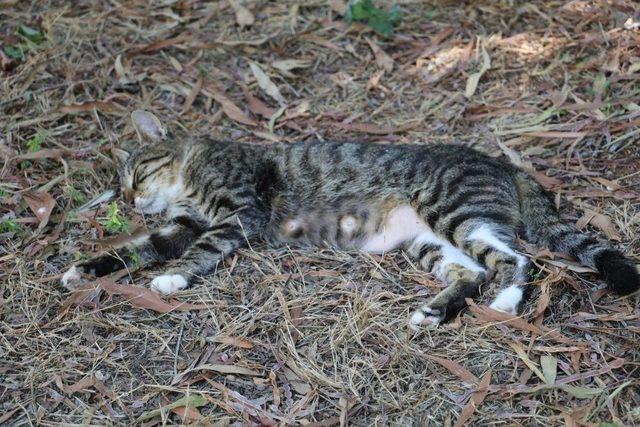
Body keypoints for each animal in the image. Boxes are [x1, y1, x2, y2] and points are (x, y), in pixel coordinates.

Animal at [61, 110, 640, 328]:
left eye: (137, 174)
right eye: (121, 188)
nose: (131, 198)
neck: (190, 177)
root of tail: (501, 162)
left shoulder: (242, 211)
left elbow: (199, 251)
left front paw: (171, 279)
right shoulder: (180, 225)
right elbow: (135, 249)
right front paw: (85, 270)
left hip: (453, 211)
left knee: (517, 260)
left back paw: (504, 303)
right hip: (430, 241)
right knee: (472, 270)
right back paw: (434, 311)